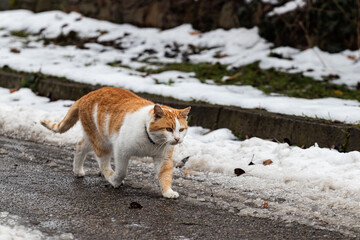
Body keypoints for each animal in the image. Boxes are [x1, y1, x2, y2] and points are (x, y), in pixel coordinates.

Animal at [40, 86, 190, 199]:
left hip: (94, 137)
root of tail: (87, 95)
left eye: (181, 129)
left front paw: (168, 192)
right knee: (103, 162)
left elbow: (165, 174)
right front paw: (115, 180)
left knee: (80, 145)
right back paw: (109, 177)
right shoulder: (121, 150)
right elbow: (122, 171)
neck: (151, 141)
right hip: (101, 142)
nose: (177, 139)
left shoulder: (163, 157)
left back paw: (77, 170)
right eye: (169, 129)